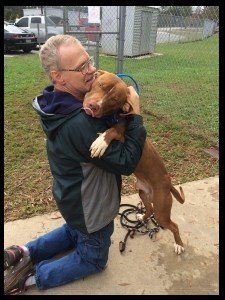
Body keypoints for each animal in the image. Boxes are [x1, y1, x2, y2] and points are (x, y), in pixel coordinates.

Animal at [83, 69, 185, 253]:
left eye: (114, 100)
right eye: (100, 84)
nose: (94, 106)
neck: (115, 116)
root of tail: (168, 183)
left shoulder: (123, 135)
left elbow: (113, 130)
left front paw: (101, 142)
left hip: (162, 209)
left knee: (173, 225)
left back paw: (179, 244)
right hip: (143, 193)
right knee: (149, 209)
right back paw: (141, 216)